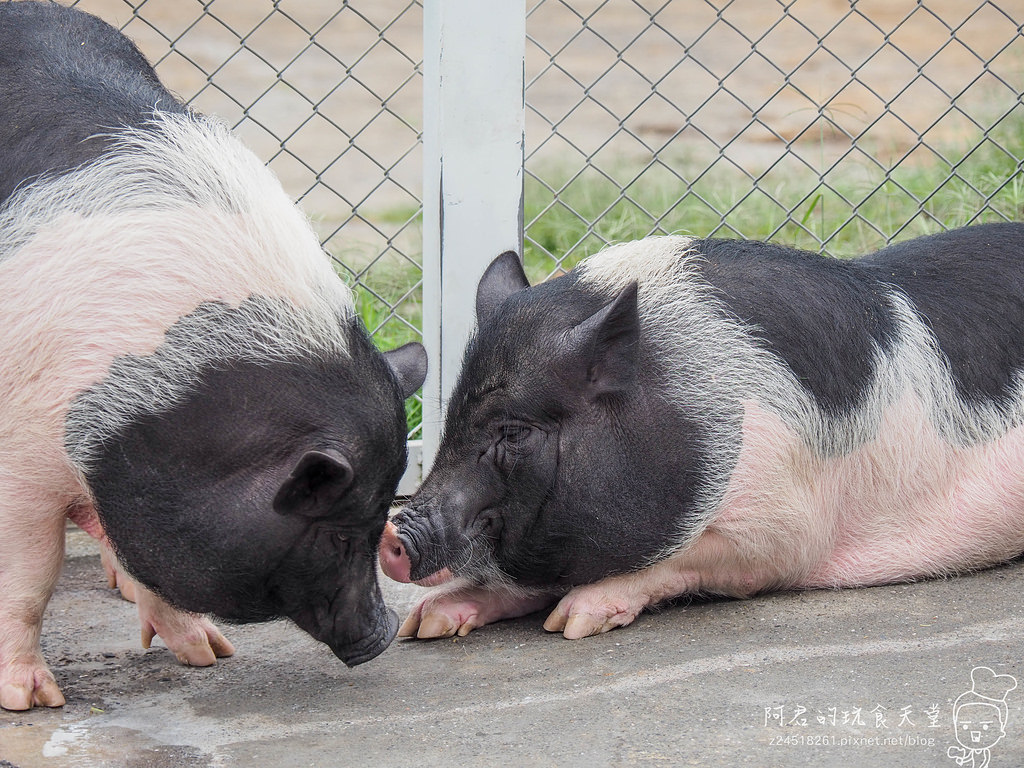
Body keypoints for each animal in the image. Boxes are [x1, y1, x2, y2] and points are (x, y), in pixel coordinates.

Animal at [0, 0, 423, 712]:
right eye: (338, 530)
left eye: (379, 524)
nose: (387, 633)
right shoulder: (20, 452)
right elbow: (28, 575)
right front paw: (34, 702)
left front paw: (208, 655)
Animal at [380, 224, 1024, 643]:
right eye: (454, 411)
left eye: (513, 430)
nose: (391, 532)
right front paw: (425, 625)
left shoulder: (784, 527)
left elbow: (673, 560)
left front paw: (574, 621)